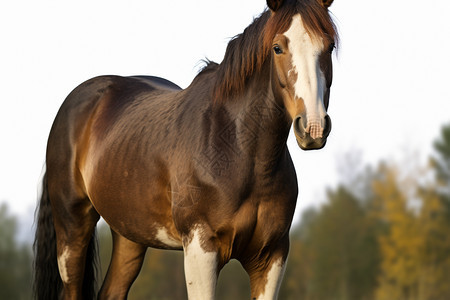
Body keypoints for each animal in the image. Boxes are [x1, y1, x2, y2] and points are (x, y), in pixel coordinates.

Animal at [33, 0, 338, 298]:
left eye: (329, 46)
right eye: (277, 47)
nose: (313, 127)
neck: (238, 150)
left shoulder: (272, 256)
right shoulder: (200, 250)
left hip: (130, 235)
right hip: (72, 229)